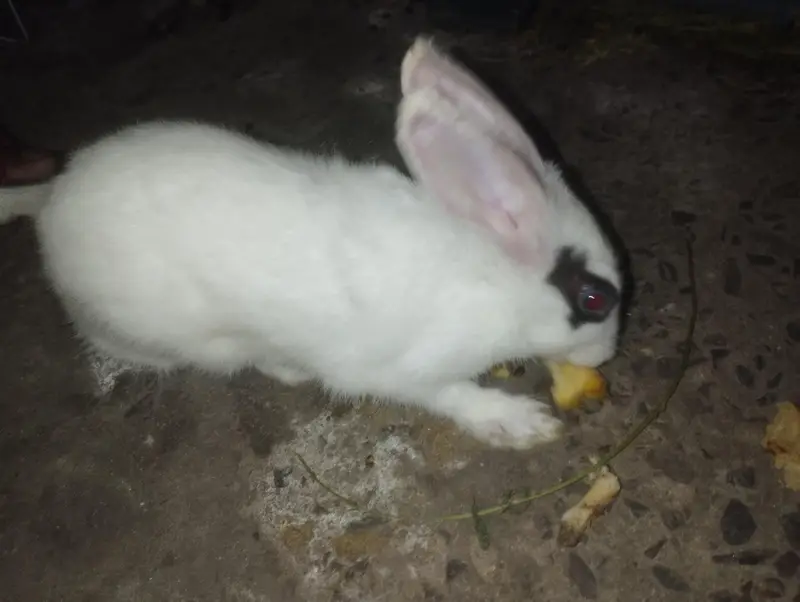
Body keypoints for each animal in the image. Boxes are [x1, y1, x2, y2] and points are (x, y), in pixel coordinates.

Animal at [0, 37, 622, 450]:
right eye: (595, 299)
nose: (605, 355)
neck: (494, 276)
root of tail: (52, 197)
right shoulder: (402, 370)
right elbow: (449, 394)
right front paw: (522, 423)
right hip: (193, 340)